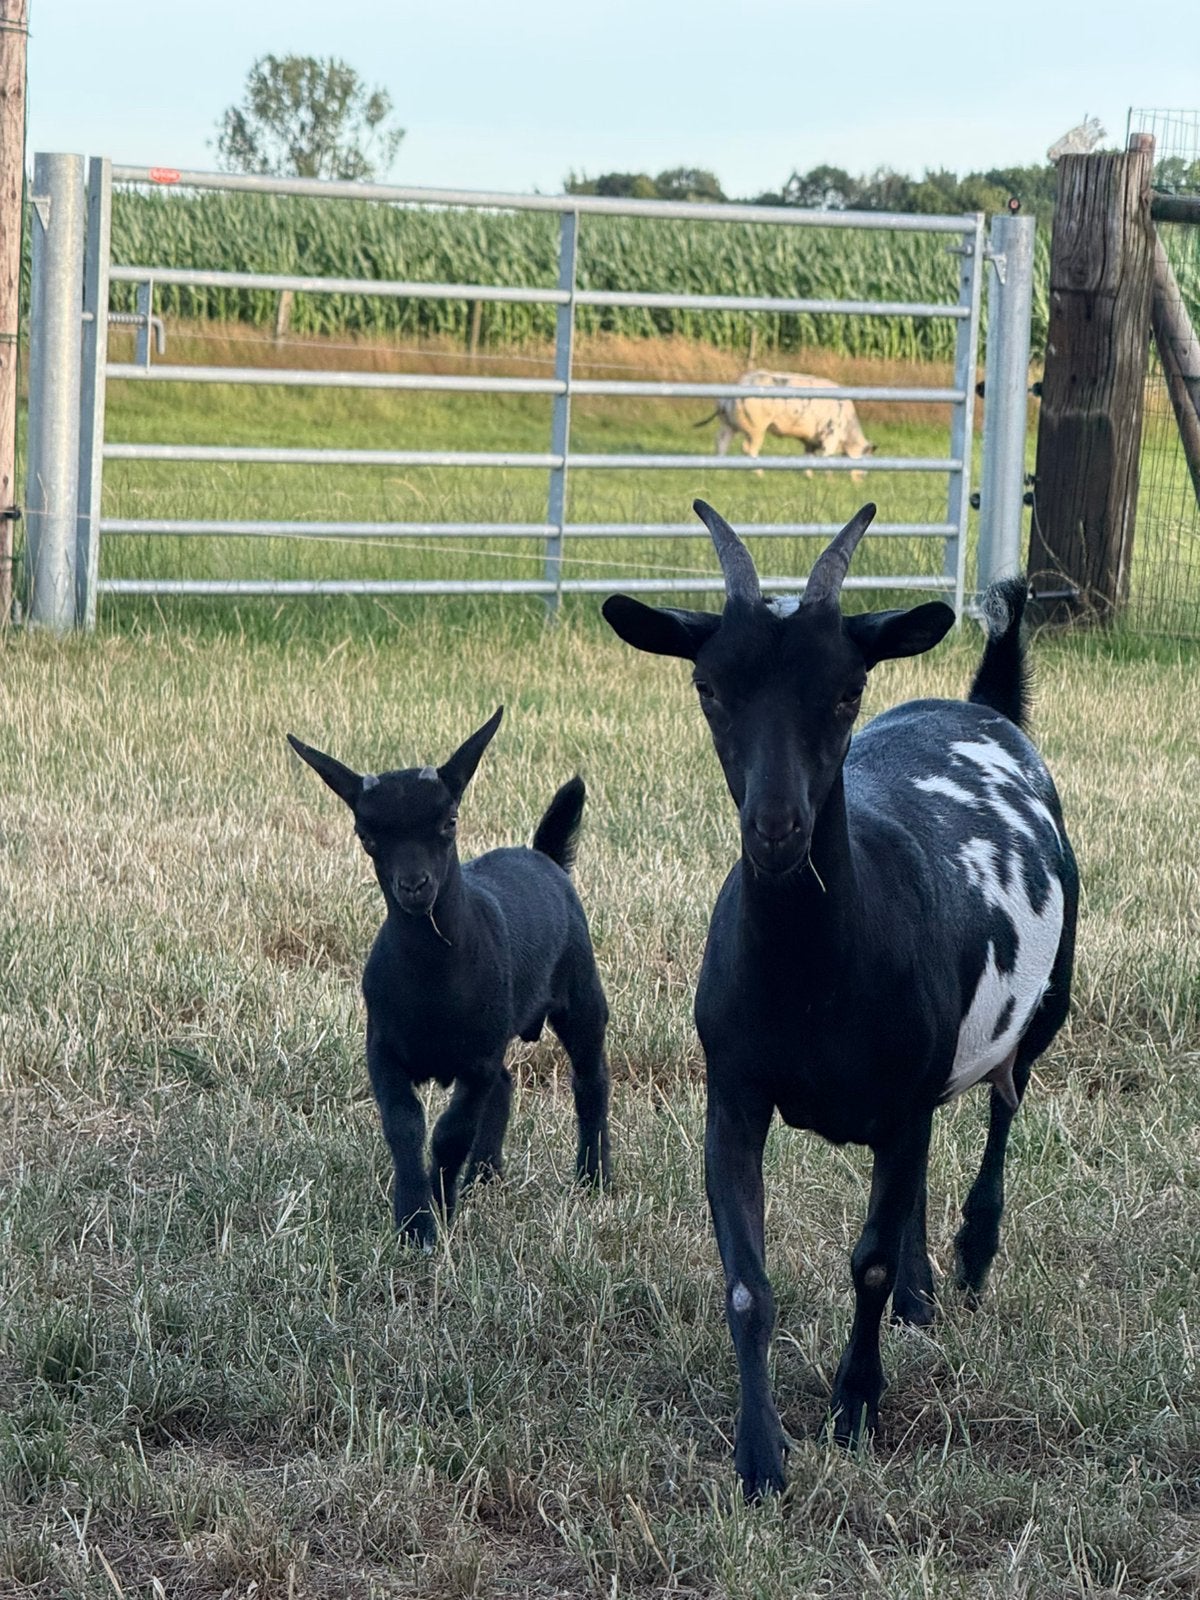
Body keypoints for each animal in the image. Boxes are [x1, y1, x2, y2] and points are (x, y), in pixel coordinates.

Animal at [287, 708, 612, 1248]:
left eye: (449, 821)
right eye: (366, 835)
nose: (415, 886)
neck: (433, 978)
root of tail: (542, 855)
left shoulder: (476, 1058)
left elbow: (450, 1132)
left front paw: (437, 1212)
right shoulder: (383, 1050)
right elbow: (405, 1127)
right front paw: (414, 1219)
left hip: (581, 997)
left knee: (590, 1082)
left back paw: (594, 1177)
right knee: (506, 1084)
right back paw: (485, 1173)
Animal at [602, 502, 1078, 1499]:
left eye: (848, 690)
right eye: (708, 687)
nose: (776, 829)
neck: (816, 982)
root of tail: (984, 704)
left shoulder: (897, 1101)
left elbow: (865, 1262)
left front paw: (855, 1408)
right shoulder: (735, 1093)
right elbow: (748, 1278)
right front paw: (761, 1456)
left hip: (1047, 997)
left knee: (1007, 1097)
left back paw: (971, 1256)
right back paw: (924, 1293)